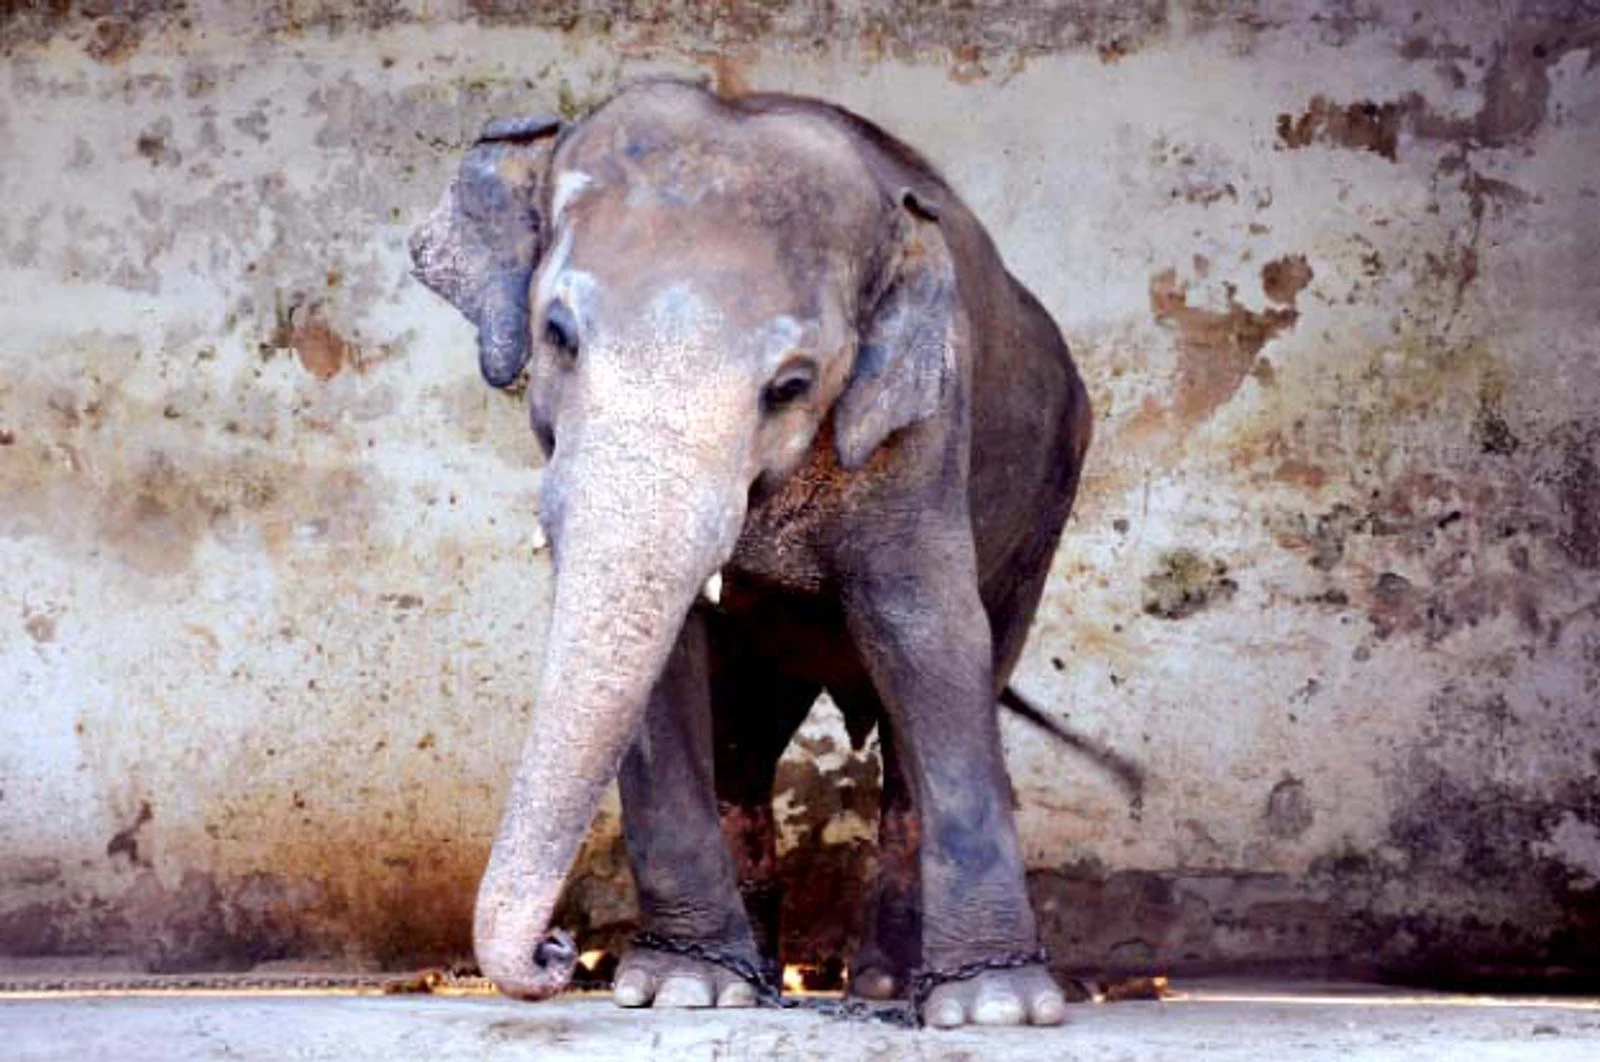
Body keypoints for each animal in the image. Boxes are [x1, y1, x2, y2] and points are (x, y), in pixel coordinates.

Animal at [408, 78, 1092, 1028]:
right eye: (559, 335)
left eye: (792, 386)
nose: (557, 952)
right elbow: (666, 670)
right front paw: (680, 989)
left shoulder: (924, 428)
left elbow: (929, 636)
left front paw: (1001, 1008)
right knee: (744, 732)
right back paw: (756, 974)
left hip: (1048, 498)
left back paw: (884, 985)